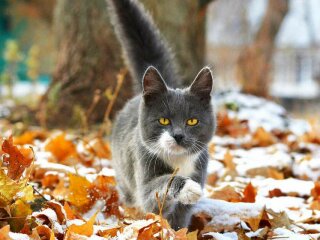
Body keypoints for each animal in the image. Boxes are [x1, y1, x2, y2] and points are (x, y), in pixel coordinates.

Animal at [107, 0, 215, 230]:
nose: (178, 135)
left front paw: (179, 231)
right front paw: (188, 188)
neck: (178, 161)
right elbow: (158, 189)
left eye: (192, 121)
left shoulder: (199, 168)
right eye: (164, 120)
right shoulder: (144, 169)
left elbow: (181, 218)